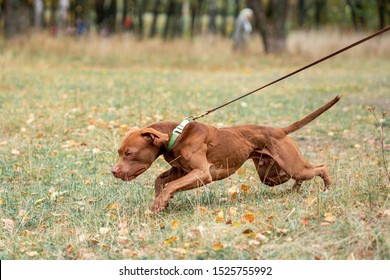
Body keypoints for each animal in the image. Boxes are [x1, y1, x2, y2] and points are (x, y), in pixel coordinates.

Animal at [111, 95, 340, 211]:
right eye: (119, 151)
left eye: (129, 153)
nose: (113, 171)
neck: (176, 135)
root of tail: (279, 131)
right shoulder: (180, 170)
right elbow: (160, 181)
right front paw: (162, 203)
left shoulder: (202, 174)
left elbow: (170, 185)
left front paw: (160, 203)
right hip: (271, 175)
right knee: (300, 174)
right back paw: (295, 190)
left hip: (290, 165)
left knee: (319, 167)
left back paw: (327, 187)